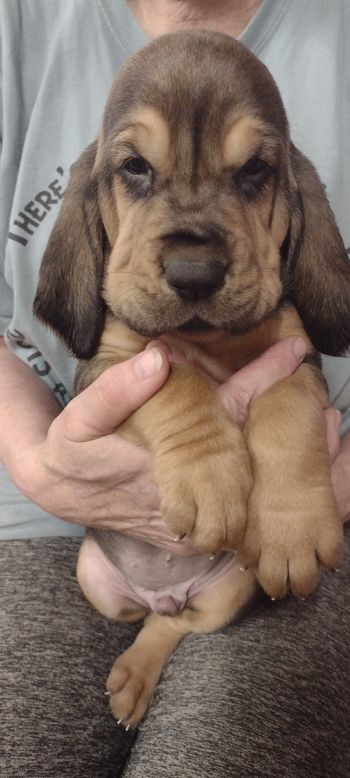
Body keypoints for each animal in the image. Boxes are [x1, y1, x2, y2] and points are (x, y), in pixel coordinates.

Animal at [33, 28, 350, 720]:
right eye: (135, 168)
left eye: (254, 170)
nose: (195, 273)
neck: (205, 339)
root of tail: (163, 592)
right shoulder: (108, 369)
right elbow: (174, 377)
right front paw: (210, 476)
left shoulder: (297, 354)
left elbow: (285, 399)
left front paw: (288, 526)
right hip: (95, 580)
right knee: (142, 616)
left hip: (231, 591)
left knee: (173, 624)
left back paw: (136, 673)